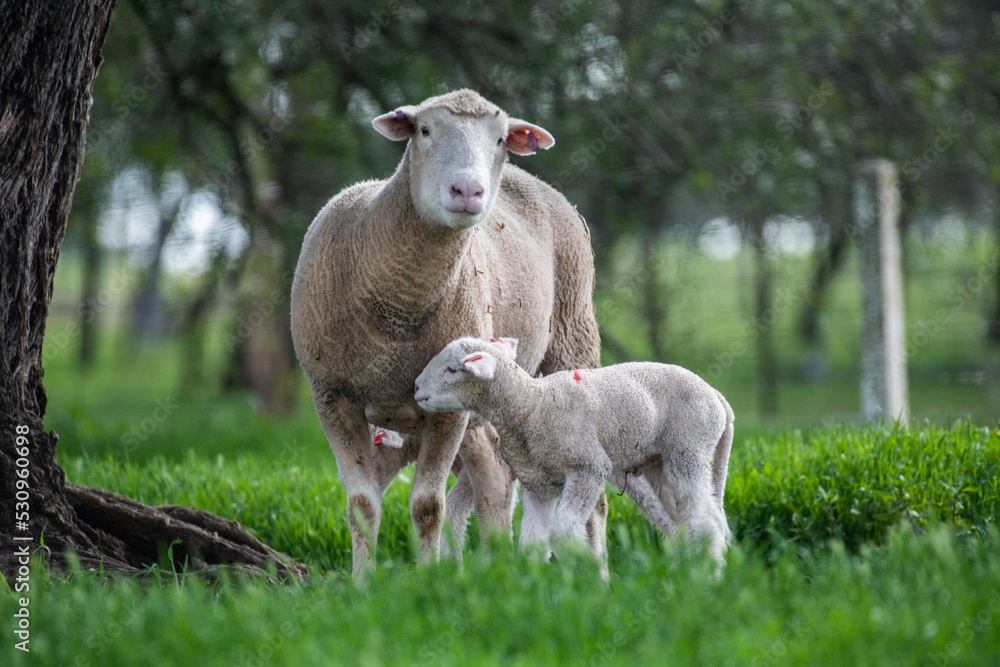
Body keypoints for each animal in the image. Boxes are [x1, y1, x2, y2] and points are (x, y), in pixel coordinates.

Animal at [290, 89, 605, 579]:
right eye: (424, 129)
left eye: (500, 138)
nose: (468, 191)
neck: (396, 315)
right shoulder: (331, 396)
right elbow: (362, 504)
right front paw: (362, 582)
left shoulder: (448, 409)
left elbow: (427, 506)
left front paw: (429, 577)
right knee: (496, 475)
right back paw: (499, 563)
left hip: (574, 337)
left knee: (592, 499)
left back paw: (597, 573)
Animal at [413, 337, 735, 574]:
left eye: (453, 369)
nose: (415, 388)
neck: (531, 407)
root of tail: (717, 396)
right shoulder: (538, 484)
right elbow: (532, 542)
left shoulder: (589, 467)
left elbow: (564, 529)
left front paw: (587, 570)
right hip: (659, 463)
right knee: (681, 522)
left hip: (689, 448)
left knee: (706, 521)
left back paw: (711, 576)